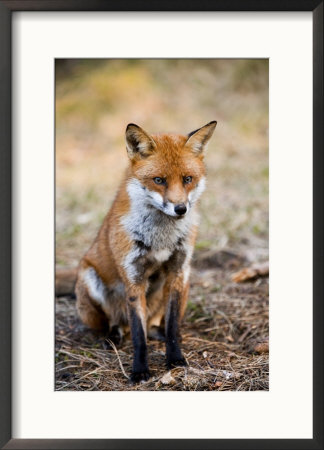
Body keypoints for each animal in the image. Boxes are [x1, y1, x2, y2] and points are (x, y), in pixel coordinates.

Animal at [57, 120, 216, 384]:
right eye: (159, 180)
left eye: (187, 179)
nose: (180, 209)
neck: (161, 238)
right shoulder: (134, 278)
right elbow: (138, 336)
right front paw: (140, 370)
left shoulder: (177, 272)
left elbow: (172, 328)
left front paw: (175, 360)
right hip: (92, 283)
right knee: (116, 324)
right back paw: (112, 337)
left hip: (184, 285)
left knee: (154, 324)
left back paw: (157, 332)